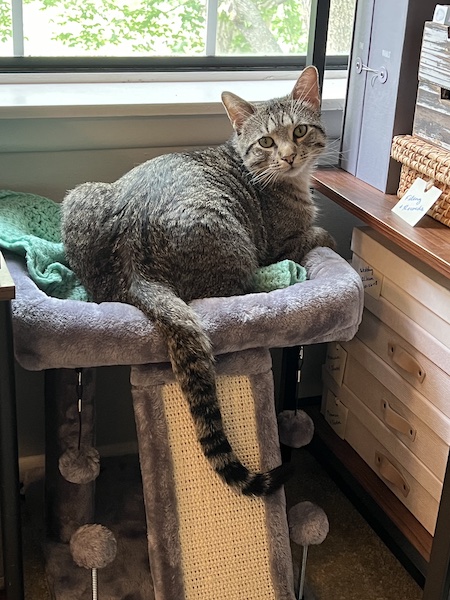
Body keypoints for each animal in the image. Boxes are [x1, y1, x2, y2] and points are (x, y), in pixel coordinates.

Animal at [60, 65, 334, 496]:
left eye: (300, 130)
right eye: (267, 141)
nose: (289, 156)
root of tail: (133, 257)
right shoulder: (283, 243)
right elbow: (319, 234)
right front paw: (328, 236)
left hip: (81, 196)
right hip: (237, 246)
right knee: (241, 285)